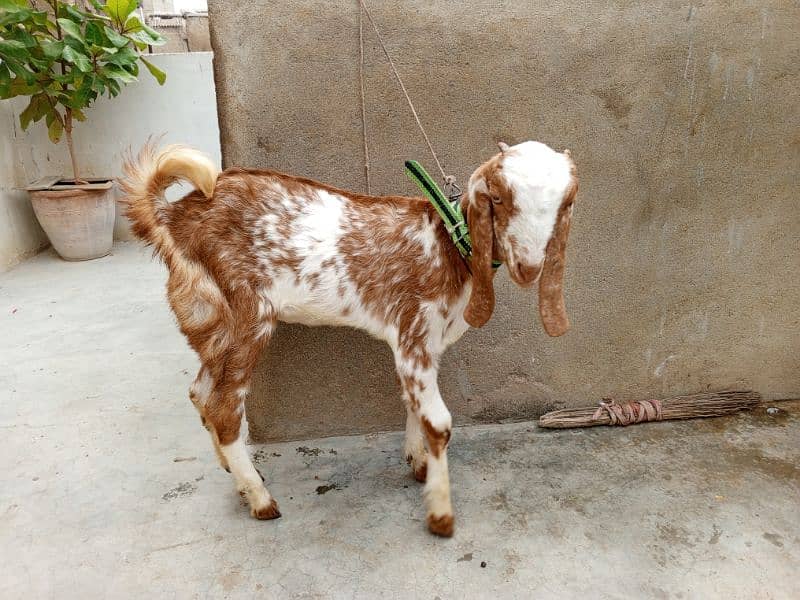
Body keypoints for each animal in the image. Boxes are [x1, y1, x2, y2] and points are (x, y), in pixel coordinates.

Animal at [120, 142, 576, 540]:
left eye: (563, 205)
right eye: (498, 197)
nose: (528, 267)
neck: (448, 244)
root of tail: (171, 216)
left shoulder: (422, 345)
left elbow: (412, 403)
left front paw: (418, 465)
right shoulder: (414, 331)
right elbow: (439, 423)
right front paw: (441, 515)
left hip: (214, 325)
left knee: (200, 391)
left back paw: (237, 477)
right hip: (246, 315)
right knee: (223, 406)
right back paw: (260, 499)